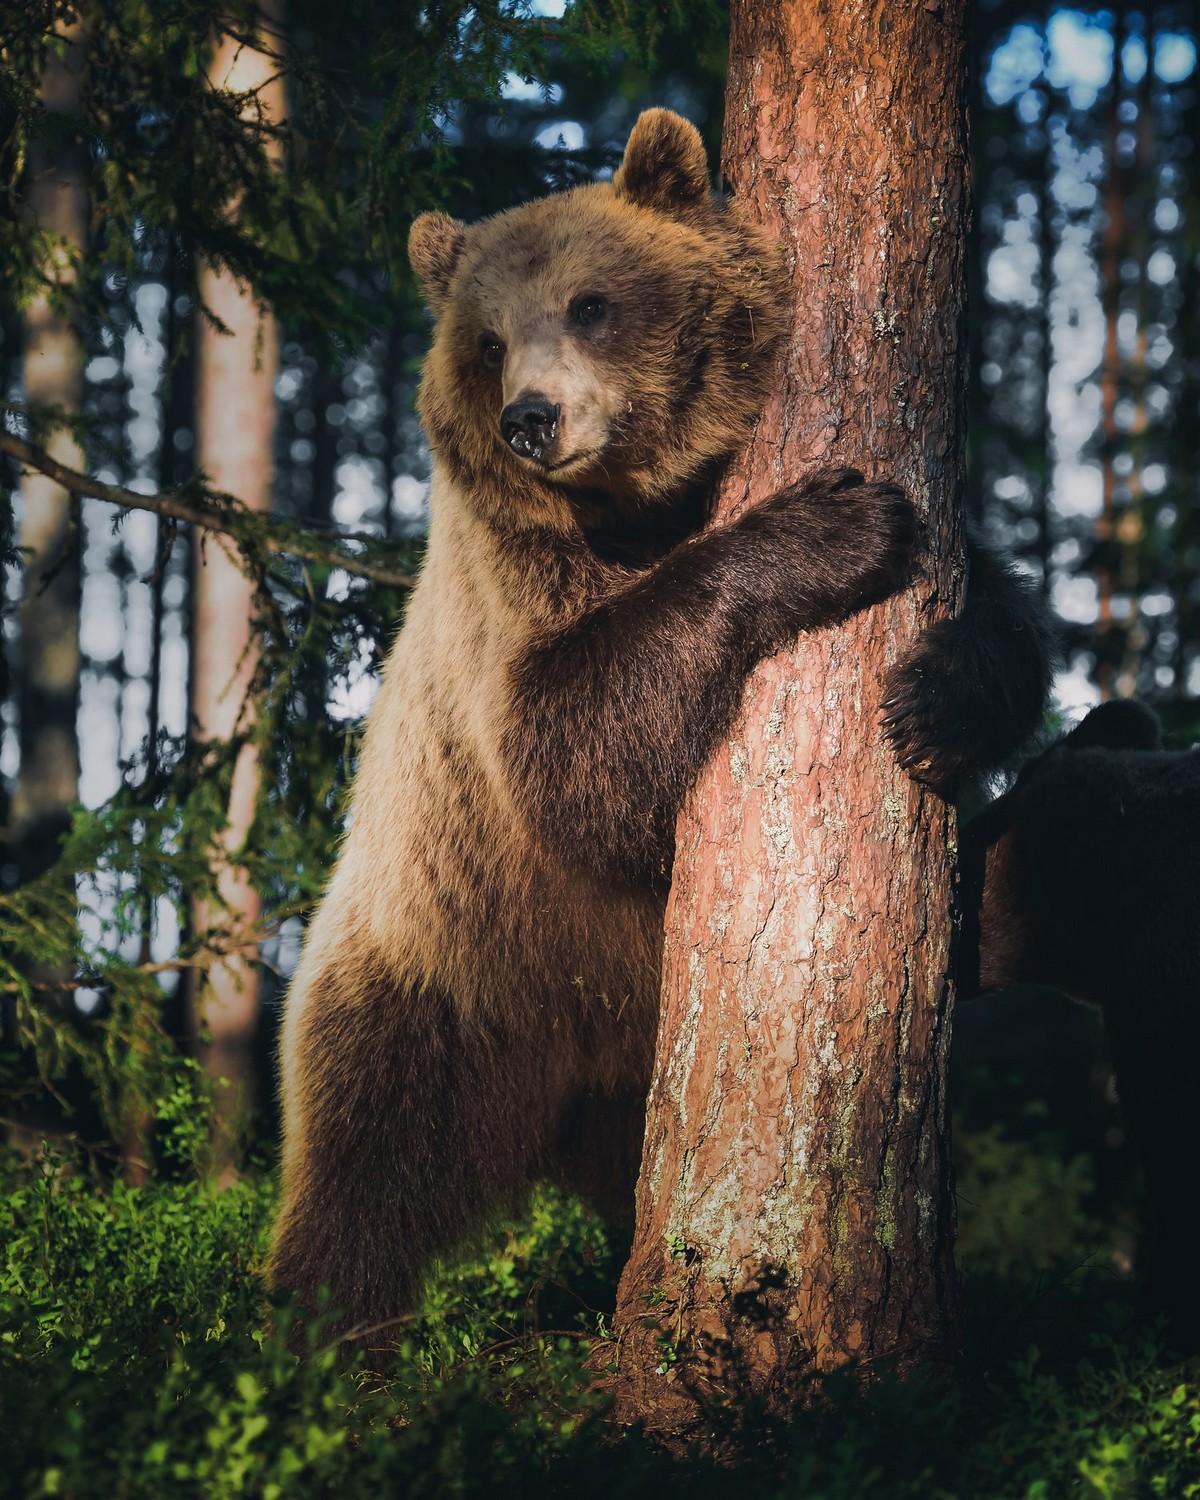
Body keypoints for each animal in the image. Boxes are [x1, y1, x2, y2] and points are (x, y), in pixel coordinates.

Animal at [270, 111, 1050, 1344]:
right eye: (486, 340)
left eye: (590, 302)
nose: (532, 419)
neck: (642, 505)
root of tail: (564, 1091)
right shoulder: (517, 594)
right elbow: (570, 748)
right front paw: (832, 523)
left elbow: (1002, 613)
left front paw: (933, 702)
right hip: (436, 969)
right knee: (362, 1169)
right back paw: (323, 1340)